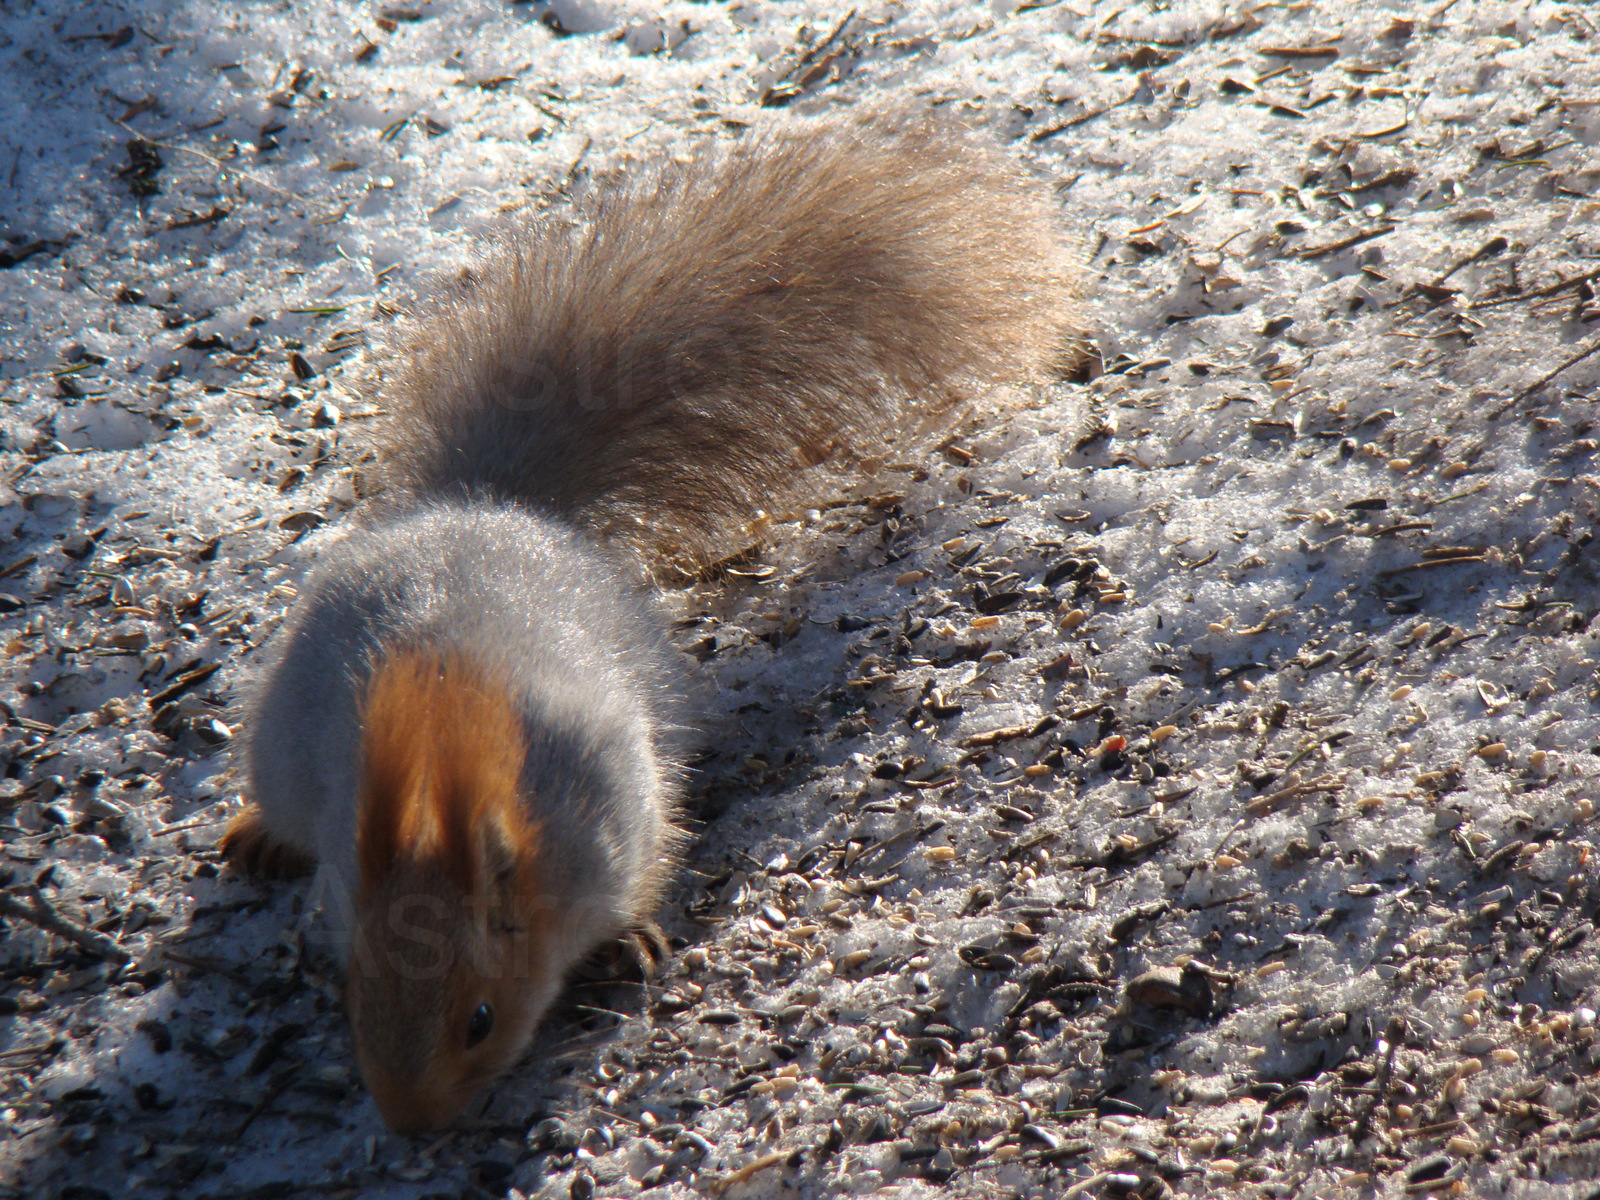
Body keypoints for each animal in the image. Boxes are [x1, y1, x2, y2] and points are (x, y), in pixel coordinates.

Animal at [219, 110, 1081, 1139]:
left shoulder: (611, 813)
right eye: (355, 1003)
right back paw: (259, 833)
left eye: (480, 1019)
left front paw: (630, 938)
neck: (443, 787)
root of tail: (491, 507)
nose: (413, 1123)